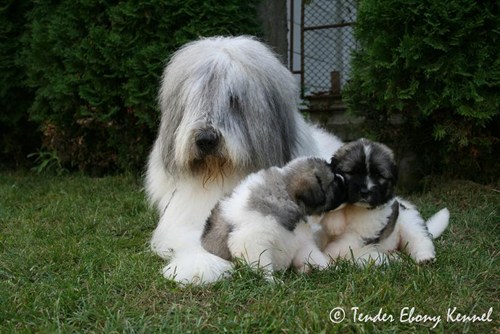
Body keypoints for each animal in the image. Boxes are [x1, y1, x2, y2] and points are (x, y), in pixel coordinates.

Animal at [197, 157, 346, 282]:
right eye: (333, 181)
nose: (344, 179)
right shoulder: (252, 241)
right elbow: (261, 263)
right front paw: (271, 280)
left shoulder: (302, 242)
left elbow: (315, 256)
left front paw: (331, 268)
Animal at [322, 138, 452, 264]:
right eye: (352, 173)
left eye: (378, 175)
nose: (365, 192)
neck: (356, 207)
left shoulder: (362, 234)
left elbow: (346, 243)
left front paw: (330, 254)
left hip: (410, 222)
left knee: (419, 238)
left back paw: (424, 257)